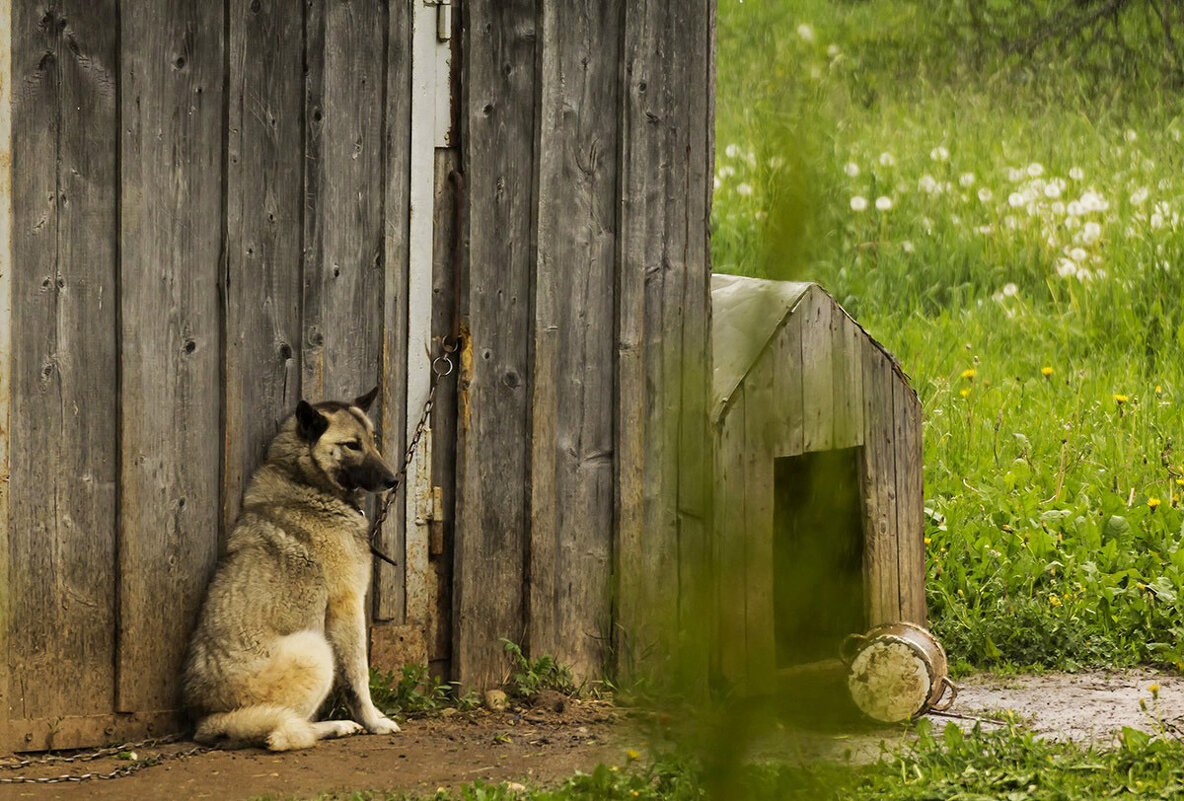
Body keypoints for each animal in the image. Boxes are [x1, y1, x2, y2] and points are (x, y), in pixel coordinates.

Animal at [183, 388, 402, 747]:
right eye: (351, 445)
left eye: (372, 440)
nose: (392, 480)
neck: (308, 483)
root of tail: (208, 721)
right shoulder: (347, 605)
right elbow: (358, 675)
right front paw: (374, 721)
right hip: (316, 650)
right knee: (288, 726)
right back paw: (335, 726)